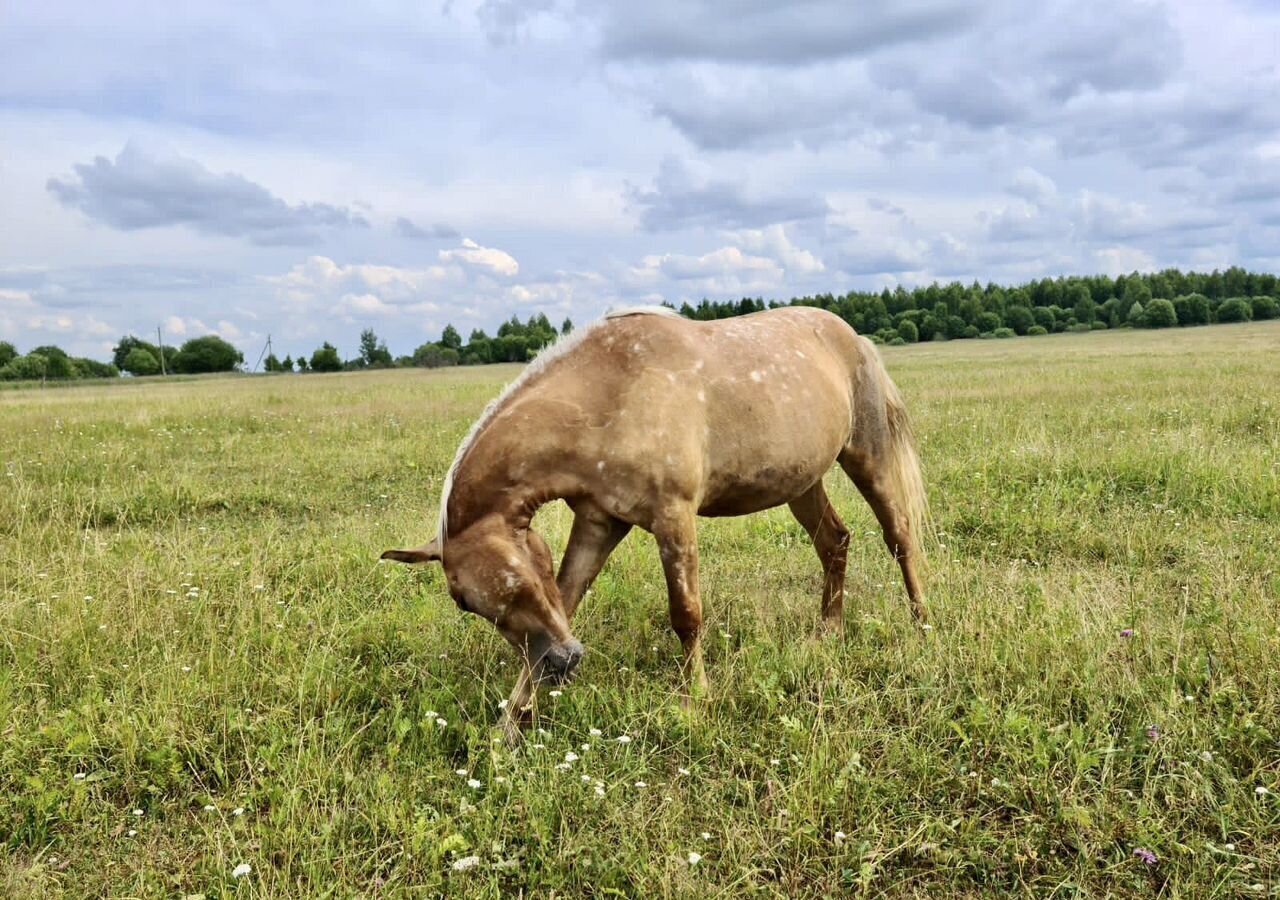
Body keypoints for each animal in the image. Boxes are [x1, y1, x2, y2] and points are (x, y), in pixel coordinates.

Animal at [381, 305, 931, 742]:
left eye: (509, 580)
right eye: (465, 602)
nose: (563, 661)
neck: (607, 396)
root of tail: (854, 338)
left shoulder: (674, 516)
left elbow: (686, 614)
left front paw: (694, 703)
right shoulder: (598, 523)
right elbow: (568, 600)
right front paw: (510, 725)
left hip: (866, 456)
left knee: (899, 536)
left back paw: (923, 625)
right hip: (802, 483)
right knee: (834, 542)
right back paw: (827, 635)